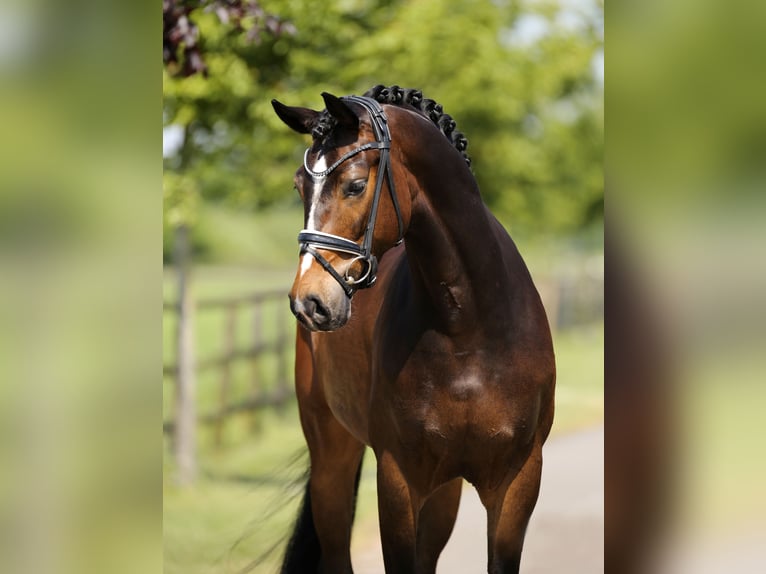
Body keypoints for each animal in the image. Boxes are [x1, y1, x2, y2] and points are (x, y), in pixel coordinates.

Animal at [272, 86, 556, 574]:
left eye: (355, 185)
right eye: (298, 186)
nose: (309, 303)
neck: (468, 331)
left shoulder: (517, 482)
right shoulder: (398, 479)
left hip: (444, 490)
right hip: (332, 460)